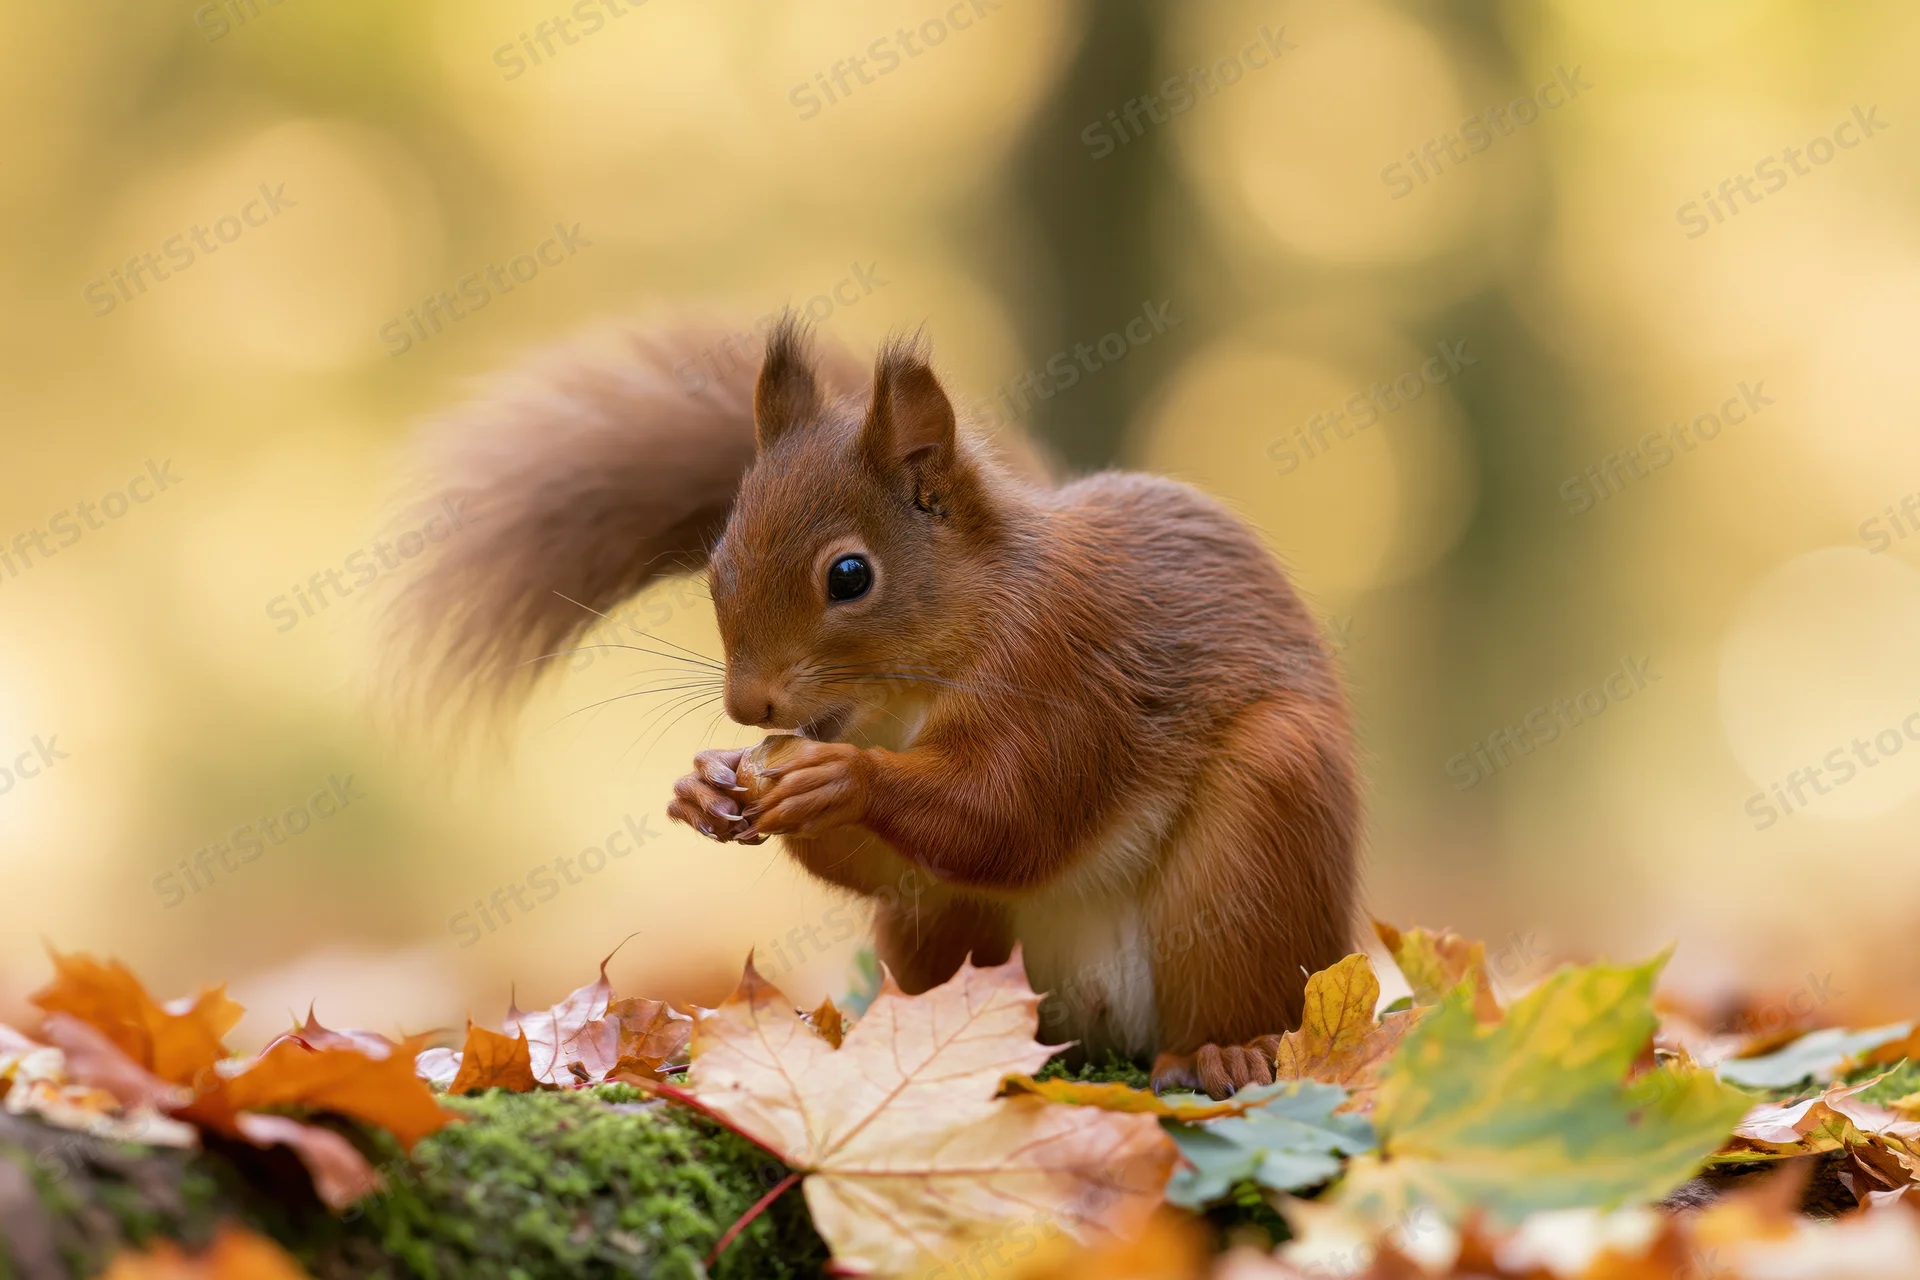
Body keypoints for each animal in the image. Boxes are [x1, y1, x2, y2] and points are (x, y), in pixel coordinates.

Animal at [388, 314, 1360, 1098]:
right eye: (716, 565)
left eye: (850, 576)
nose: (747, 706)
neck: (911, 692)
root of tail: (1103, 1031)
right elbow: (910, 862)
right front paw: (704, 786)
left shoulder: (1068, 672)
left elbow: (1014, 816)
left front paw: (841, 779)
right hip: (957, 938)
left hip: (1263, 836)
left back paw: (1226, 1053)